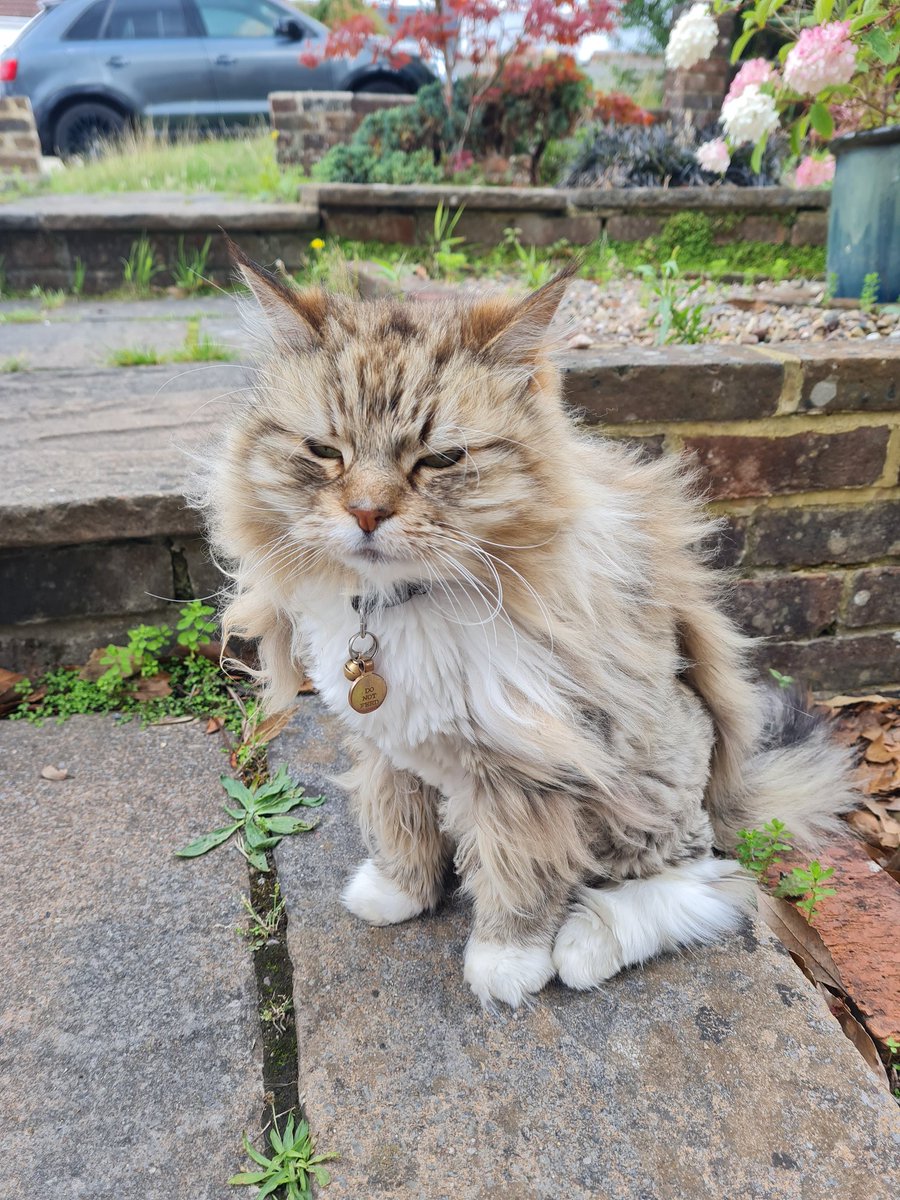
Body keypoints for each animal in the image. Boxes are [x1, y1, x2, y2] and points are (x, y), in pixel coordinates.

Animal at [199, 238, 859, 1008]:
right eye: (325, 452)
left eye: (440, 460)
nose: (365, 514)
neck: (404, 605)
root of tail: (726, 786)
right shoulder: (389, 749)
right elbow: (399, 826)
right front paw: (399, 894)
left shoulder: (529, 774)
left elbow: (520, 878)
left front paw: (505, 965)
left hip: (644, 800)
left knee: (713, 885)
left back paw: (587, 945)